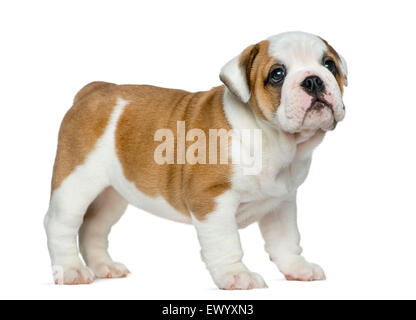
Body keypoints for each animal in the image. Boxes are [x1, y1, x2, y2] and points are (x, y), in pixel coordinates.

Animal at [44, 31, 348, 288]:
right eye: (277, 74)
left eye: (329, 65)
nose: (313, 79)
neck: (274, 139)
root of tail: (94, 90)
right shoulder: (212, 199)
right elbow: (226, 243)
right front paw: (237, 276)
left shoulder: (280, 203)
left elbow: (286, 240)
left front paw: (298, 268)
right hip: (76, 183)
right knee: (60, 224)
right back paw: (71, 270)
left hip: (111, 195)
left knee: (93, 228)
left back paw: (104, 267)